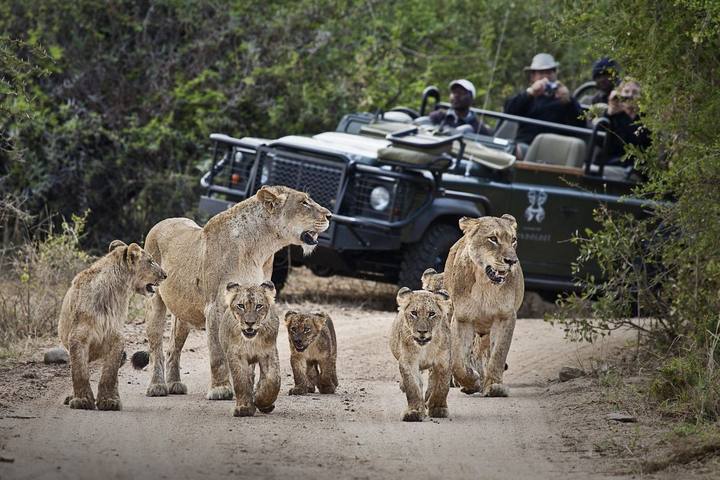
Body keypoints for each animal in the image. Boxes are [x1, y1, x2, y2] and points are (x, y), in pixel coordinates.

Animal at [58, 240, 166, 410]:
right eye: (150, 261)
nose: (165, 274)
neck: (116, 292)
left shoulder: (116, 337)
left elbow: (109, 373)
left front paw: (109, 400)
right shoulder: (78, 337)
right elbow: (79, 371)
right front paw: (82, 400)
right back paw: (71, 397)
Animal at [132, 185, 331, 400]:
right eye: (304, 202)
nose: (330, 215)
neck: (260, 249)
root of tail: (161, 222)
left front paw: (249, 388)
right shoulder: (216, 306)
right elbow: (218, 353)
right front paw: (221, 389)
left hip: (183, 311)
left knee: (173, 347)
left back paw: (175, 384)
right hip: (154, 302)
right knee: (156, 347)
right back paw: (157, 386)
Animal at [220, 281, 280, 417]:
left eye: (259, 306)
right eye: (241, 306)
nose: (250, 323)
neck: (251, 341)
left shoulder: (269, 353)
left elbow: (273, 380)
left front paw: (261, 400)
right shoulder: (236, 355)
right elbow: (241, 381)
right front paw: (244, 407)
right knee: (248, 377)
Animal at [389, 287, 452, 422]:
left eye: (431, 314)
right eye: (414, 313)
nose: (422, 332)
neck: (425, 348)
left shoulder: (444, 361)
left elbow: (442, 386)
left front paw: (438, 408)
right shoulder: (408, 362)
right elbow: (412, 386)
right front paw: (414, 411)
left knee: (432, 379)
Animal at [444, 214, 524, 398]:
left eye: (513, 240)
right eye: (493, 239)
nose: (512, 261)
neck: (485, 283)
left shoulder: (505, 317)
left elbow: (498, 354)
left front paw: (494, 386)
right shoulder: (462, 318)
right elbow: (458, 362)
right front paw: (471, 382)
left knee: (484, 350)